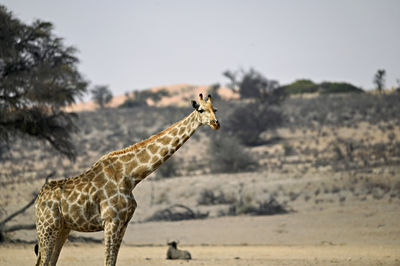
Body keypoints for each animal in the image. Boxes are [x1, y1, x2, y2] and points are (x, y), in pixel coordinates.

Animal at [33, 94, 222, 266]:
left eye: (215, 109)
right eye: (201, 109)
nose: (216, 123)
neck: (130, 176)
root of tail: (38, 199)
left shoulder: (123, 223)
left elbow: (113, 260)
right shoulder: (111, 221)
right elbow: (108, 261)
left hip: (62, 229)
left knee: (49, 262)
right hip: (47, 227)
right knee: (43, 262)